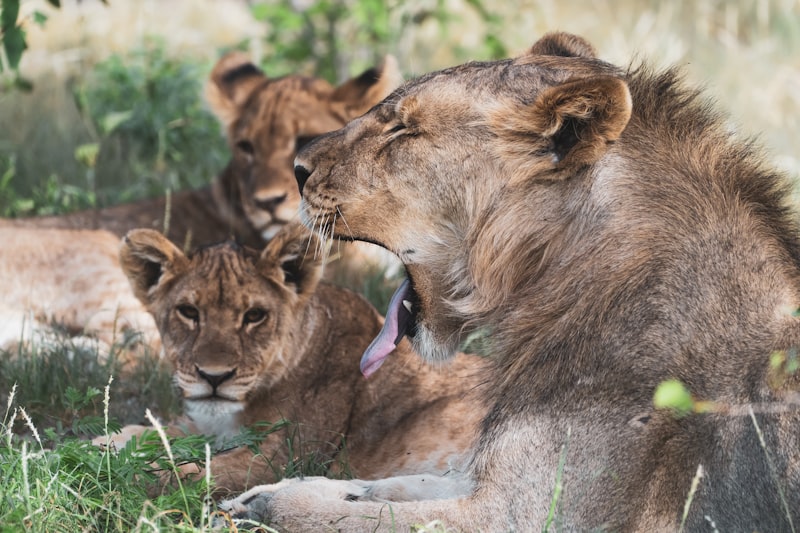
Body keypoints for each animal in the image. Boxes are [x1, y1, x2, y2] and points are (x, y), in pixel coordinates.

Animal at [108, 222, 485, 496]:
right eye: (188, 312)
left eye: (254, 316)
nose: (214, 377)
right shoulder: (209, 426)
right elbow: (151, 431)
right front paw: (109, 444)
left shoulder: (286, 458)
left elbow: (187, 472)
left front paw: (116, 477)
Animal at [221, 32, 800, 531]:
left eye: (402, 130)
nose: (297, 169)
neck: (554, 281)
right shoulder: (492, 480)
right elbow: (398, 484)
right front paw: (282, 487)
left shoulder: (530, 515)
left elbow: (367, 519)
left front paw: (270, 504)